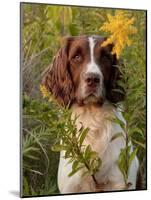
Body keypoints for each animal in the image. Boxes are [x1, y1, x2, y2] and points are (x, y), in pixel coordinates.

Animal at [41, 35, 139, 193]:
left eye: (106, 57)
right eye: (76, 57)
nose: (92, 79)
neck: (92, 120)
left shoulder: (120, 182)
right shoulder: (70, 187)